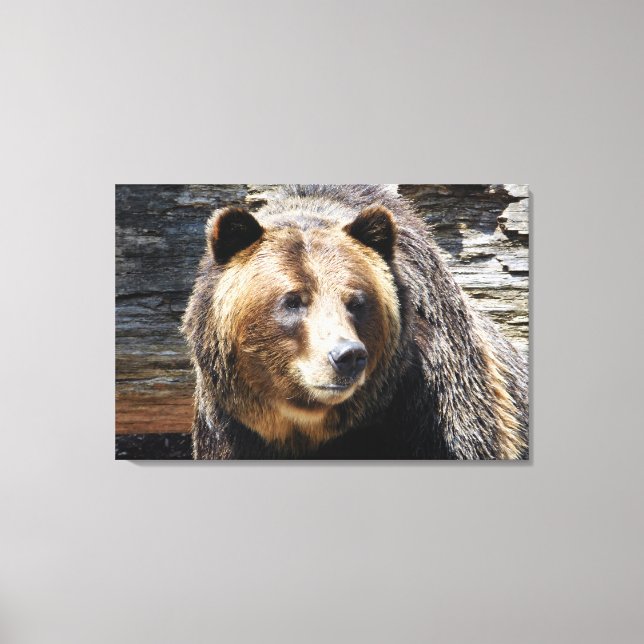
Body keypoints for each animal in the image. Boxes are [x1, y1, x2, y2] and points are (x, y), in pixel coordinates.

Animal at [181, 185, 528, 459]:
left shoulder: (434, 411)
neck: (307, 426)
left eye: (357, 302)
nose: (347, 355)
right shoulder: (232, 432)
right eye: (293, 300)